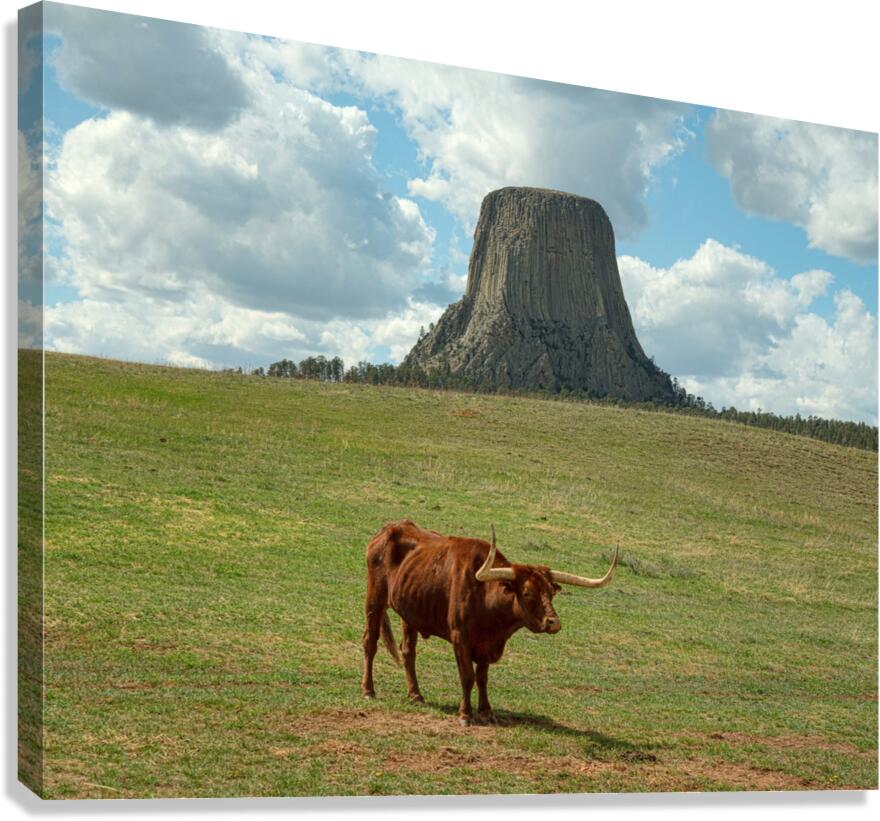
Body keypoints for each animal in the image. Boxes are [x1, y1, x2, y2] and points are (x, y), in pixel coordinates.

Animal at [361, 520, 619, 726]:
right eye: (527, 593)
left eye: (550, 592)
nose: (553, 622)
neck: (484, 595)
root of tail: (389, 528)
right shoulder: (460, 639)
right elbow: (467, 676)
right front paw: (465, 714)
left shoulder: (487, 643)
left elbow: (482, 678)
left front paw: (486, 712)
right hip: (375, 599)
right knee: (370, 642)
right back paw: (368, 690)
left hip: (410, 612)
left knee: (408, 651)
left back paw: (416, 695)